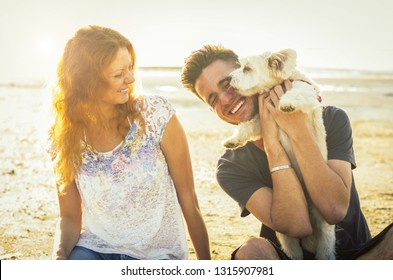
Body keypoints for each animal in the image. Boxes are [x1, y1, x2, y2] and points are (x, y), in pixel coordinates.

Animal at [225, 48, 336, 260]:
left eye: (247, 68)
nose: (227, 79)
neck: (274, 87)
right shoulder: (261, 121)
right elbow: (247, 126)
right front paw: (234, 139)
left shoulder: (306, 94)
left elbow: (296, 93)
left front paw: (287, 103)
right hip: (287, 236)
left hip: (325, 226)